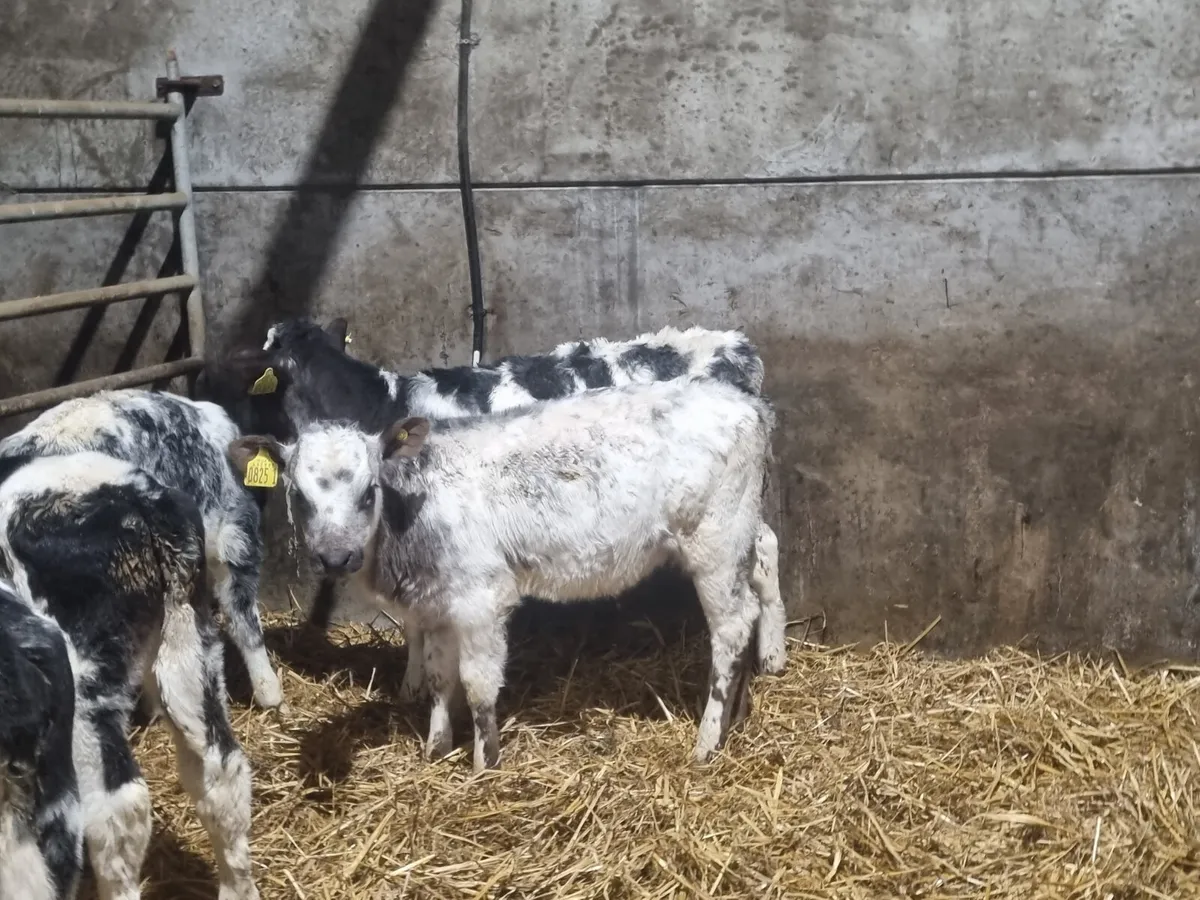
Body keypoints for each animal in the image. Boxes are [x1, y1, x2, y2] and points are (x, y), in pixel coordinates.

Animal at [0, 452, 260, 900]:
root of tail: (141, 497)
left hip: (87, 686)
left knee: (114, 810)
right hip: (192, 644)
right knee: (221, 769)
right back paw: (236, 887)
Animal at [229, 376, 774, 771]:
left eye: (368, 491)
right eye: (299, 495)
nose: (335, 558)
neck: (414, 511)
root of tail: (746, 403)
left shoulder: (480, 600)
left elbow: (477, 683)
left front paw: (483, 762)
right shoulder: (439, 604)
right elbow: (439, 677)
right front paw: (435, 749)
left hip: (716, 541)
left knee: (731, 628)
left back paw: (707, 742)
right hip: (739, 541)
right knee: (750, 607)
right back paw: (739, 714)